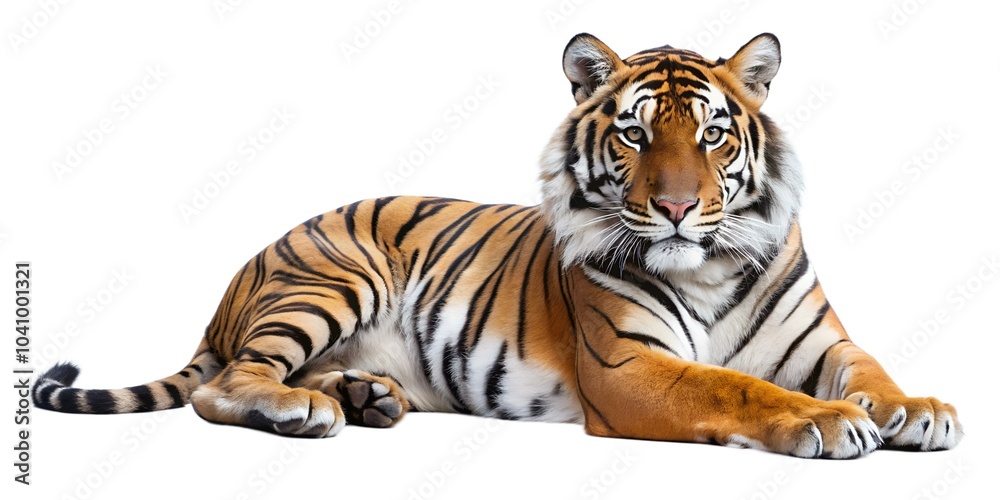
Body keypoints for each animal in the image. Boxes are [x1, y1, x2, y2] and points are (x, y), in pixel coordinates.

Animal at [34, 33, 962, 458]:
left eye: (712, 136)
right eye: (634, 135)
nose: (673, 208)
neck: (710, 266)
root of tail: (243, 270)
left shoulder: (823, 341)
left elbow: (871, 368)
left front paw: (920, 409)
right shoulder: (630, 367)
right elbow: (733, 387)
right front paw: (827, 421)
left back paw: (367, 397)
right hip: (331, 280)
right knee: (224, 383)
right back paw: (309, 410)